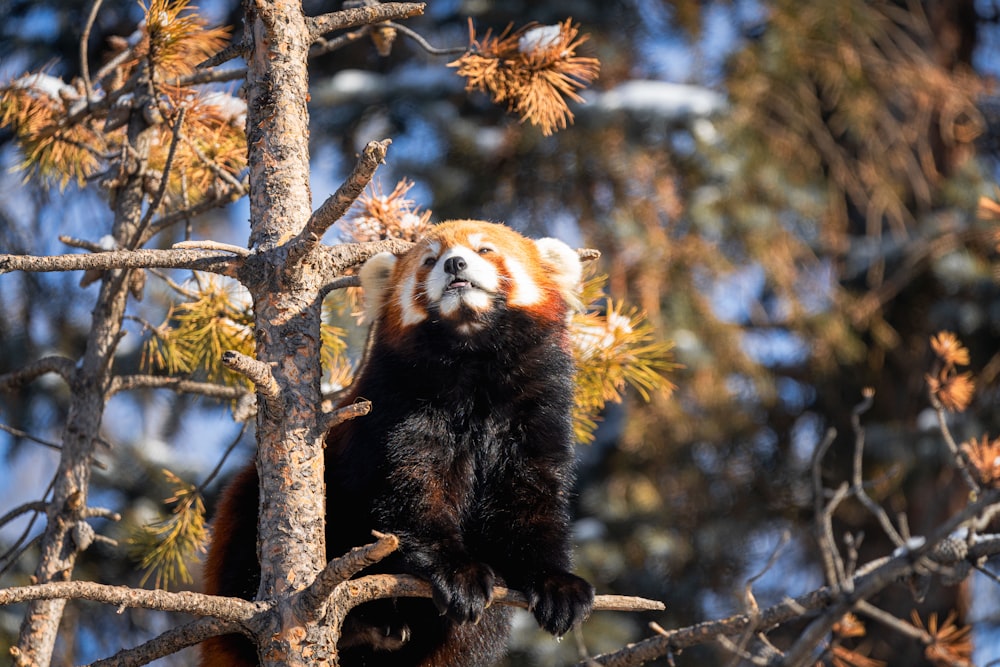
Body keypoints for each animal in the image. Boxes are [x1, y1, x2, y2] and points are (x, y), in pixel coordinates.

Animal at [203, 222, 592, 664]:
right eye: (429, 259)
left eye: (485, 250)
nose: (455, 263)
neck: (471, 360)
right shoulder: (399, 407)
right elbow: (411, 492)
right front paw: (457, 573)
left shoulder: (535, 412)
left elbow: (531, 501)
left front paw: (557, 584)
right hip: (245, 521)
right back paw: (364, 623)